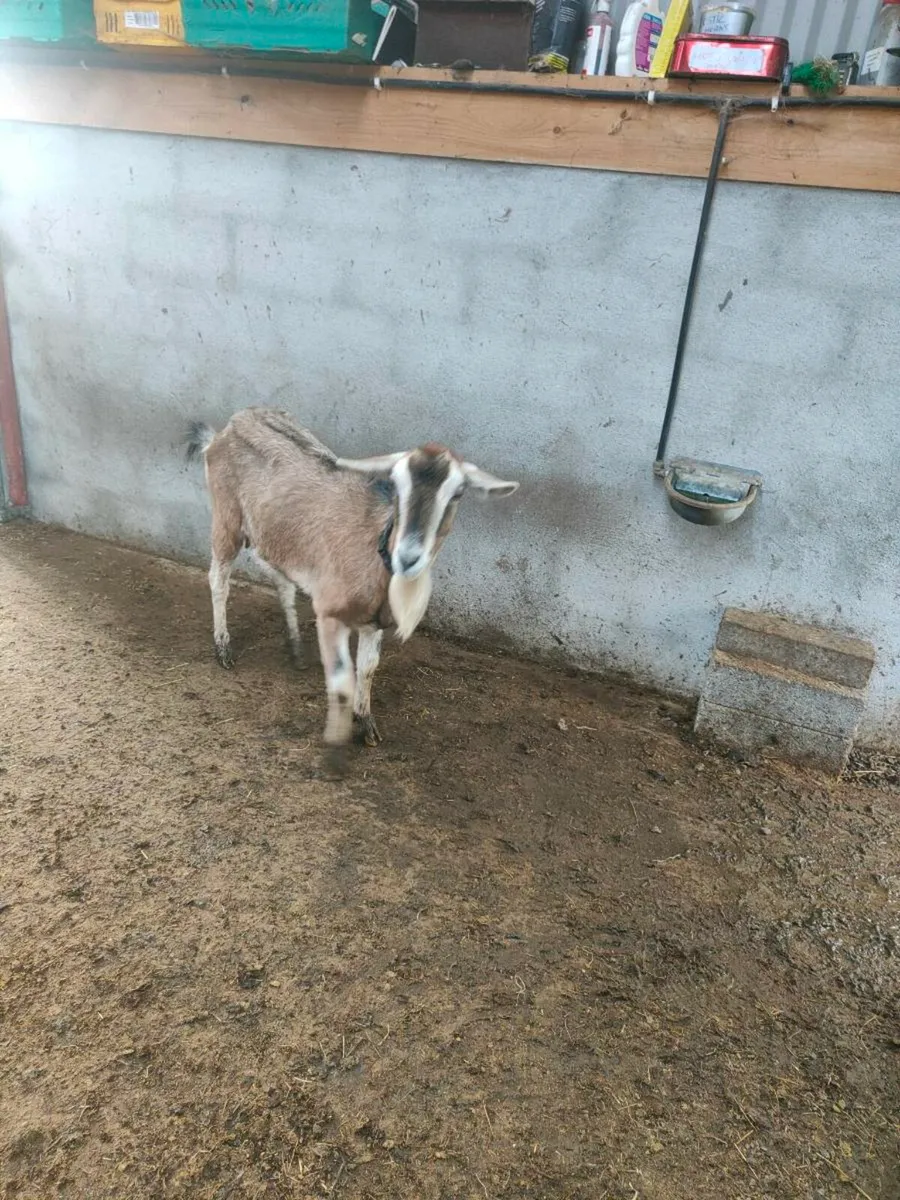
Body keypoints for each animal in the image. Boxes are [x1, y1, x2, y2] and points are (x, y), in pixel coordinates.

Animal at [186, 407, 519, 776]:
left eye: (458, 493)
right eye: (394, 486)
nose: (409, 557)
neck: (374, 548)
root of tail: (227, 428)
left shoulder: (375, 622)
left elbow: (368, 668)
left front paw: (366, 723)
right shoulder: (330, 614)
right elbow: (341, 683)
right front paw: (335, 753)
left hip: (272, 533)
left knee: (278, 575)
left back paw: (295, 647)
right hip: (227, 518)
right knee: (219, 578)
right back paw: (223, 647)